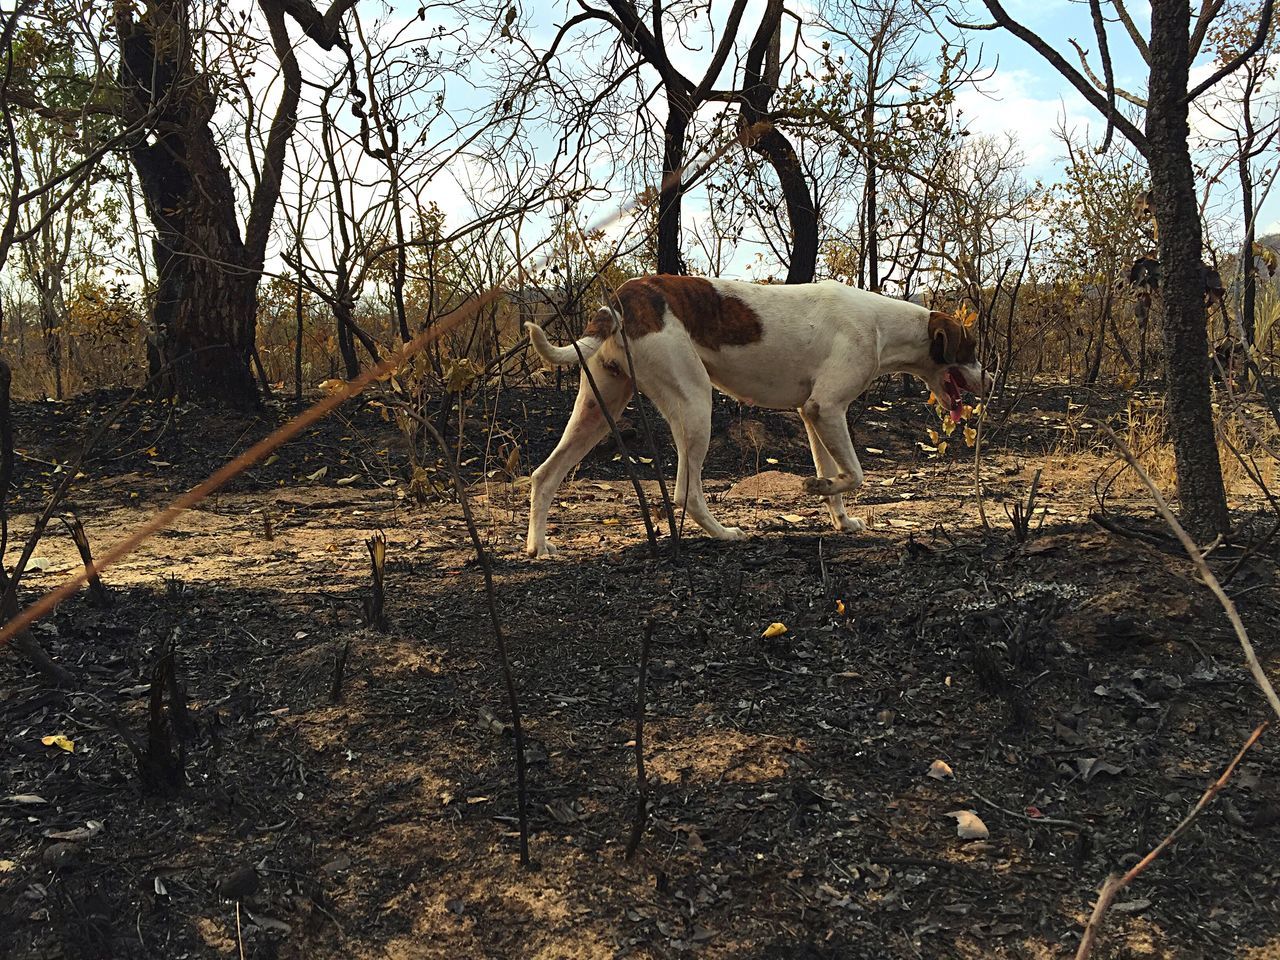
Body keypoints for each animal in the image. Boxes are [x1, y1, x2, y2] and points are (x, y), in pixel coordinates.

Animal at [519, 273, 988, 560]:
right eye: (971, 350)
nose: (991, 380)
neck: (881, 324)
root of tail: (625, 295)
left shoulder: (813, 415)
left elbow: (837, 476)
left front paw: (839, 516)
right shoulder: (826, 408)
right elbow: (854, 474)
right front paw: (817, 486)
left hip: (598, 410)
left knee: (544, 475)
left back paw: (538, 546)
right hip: (694, 404)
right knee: (686, 493)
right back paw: (725, 534)